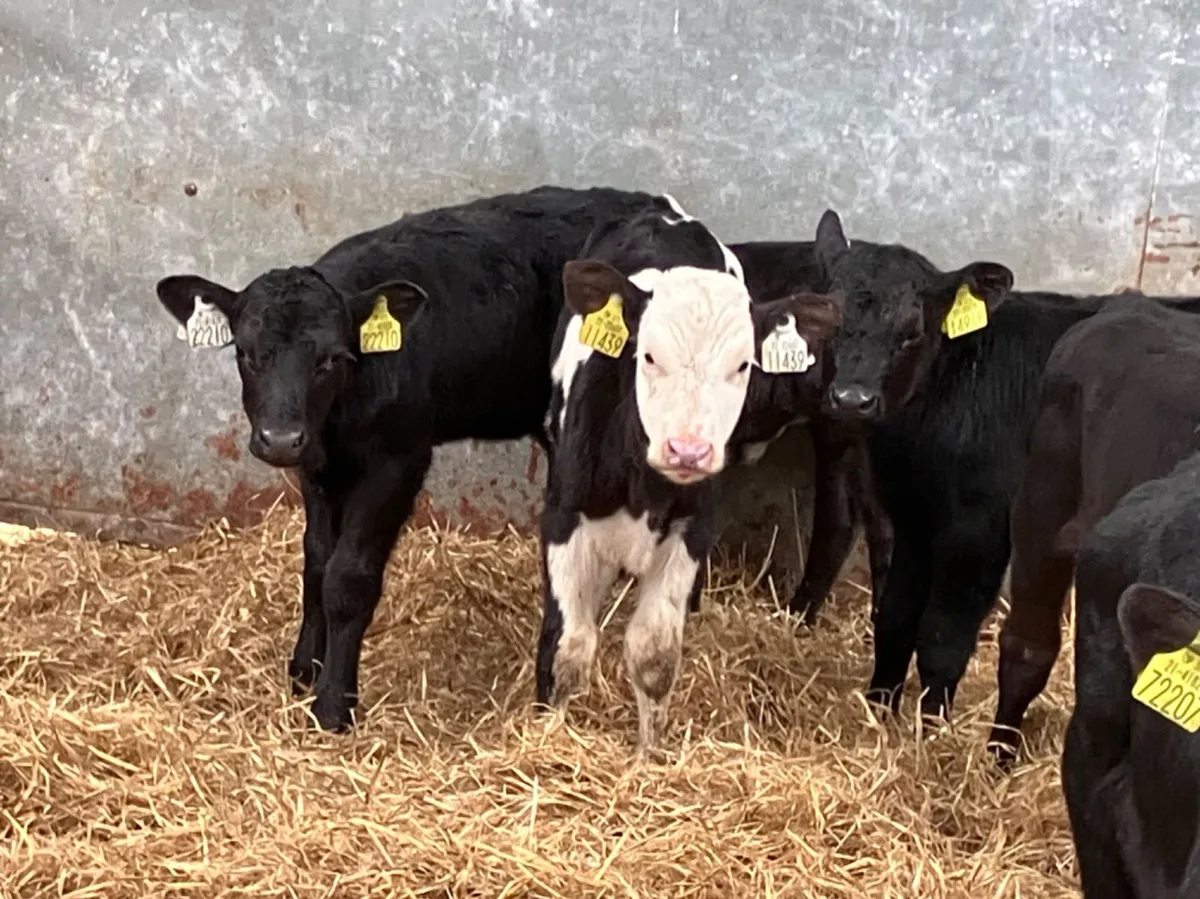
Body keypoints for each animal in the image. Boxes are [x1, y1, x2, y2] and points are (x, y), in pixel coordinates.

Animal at [155, 185, 667, 732]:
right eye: (246, 354)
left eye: (331, 358)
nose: (279, 438)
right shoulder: (318, 467)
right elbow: (316, 561)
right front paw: (304, 668)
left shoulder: (397, 460)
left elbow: (348, 577)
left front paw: (334, 704)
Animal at [537, 199, 843, 749]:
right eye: (648, 355)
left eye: (743, 365)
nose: (689, 450)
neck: (642, 489)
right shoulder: (562, 520)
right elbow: (567, 648)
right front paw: (546, 740)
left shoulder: (691, 529)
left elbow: (654, 654)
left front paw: (649, 754)